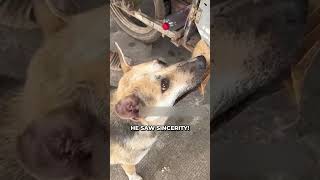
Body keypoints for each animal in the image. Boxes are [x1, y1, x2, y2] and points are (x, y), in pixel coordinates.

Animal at [109, 42, 206, 180]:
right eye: (164, 85)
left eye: (162, 62)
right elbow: (131, 171)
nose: (201, 59)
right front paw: (135, 177)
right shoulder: (128, 163)